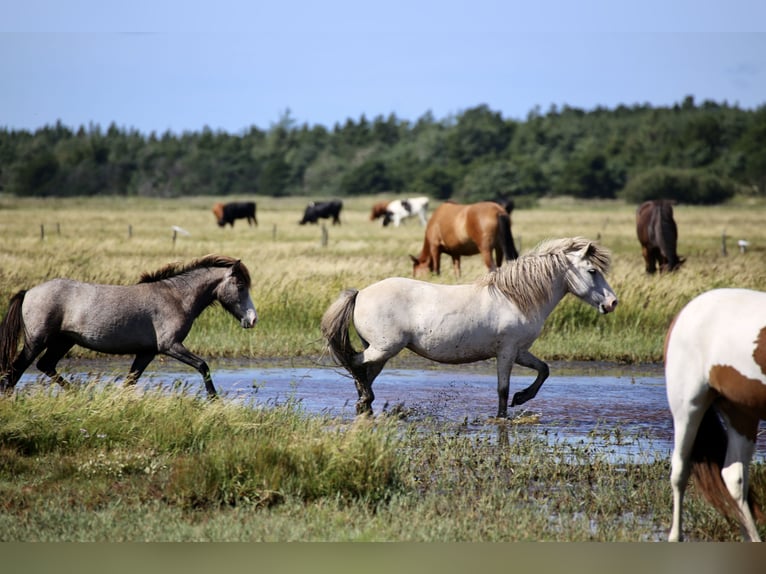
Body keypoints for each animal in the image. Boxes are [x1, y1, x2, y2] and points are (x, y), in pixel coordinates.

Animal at [0, 254, 258, 398]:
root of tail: (28, 292)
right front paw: (214, 400)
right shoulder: (170, 346)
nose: (252, 319)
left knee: (45, 365)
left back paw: (82, 395)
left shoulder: (147, 352)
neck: (176, 297)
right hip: (36, 342)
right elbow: (203, 366)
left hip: (64, 341)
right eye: (240, 286)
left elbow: (130, 380)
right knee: (14, 372)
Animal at [322, 238, 616, 418]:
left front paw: (522, 398)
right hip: (384, 348)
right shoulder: (507, 351)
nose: (612, 303)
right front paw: (504, 414)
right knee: (354, 363)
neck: (515, 298)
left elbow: (544, 369)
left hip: (381, 351)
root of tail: (360, 293)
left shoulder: (520, 352)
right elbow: (502, 389)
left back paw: (365, 403)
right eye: (592, 271)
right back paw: (365, 398)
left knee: (363, 372)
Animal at [664, 290, 766, 544]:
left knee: (735, 477)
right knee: (680, 470)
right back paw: (675, 535)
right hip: (688, 407)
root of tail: (684, 312)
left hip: (741, 413)